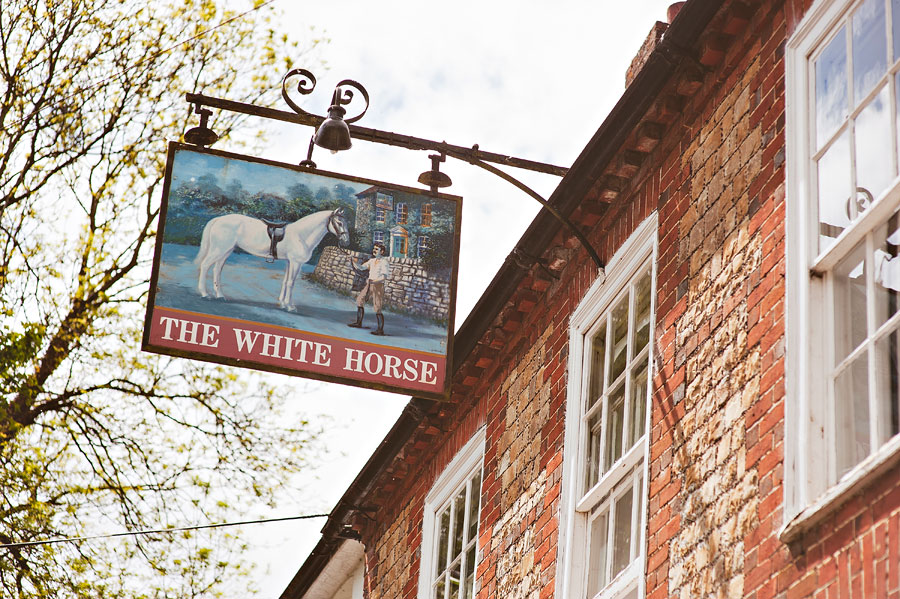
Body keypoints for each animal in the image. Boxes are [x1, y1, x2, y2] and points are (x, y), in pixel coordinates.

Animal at [195, 209, 350, 312]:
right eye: (338, 222)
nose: (346, 241)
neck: (302, 234)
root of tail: (218, 220)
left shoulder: (290, 262)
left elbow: (285, 282)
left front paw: (282, 303)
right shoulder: (296, 263)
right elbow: (291, 283)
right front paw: (290, 306)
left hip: (225, 250)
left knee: (217, 269)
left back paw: (220, 295)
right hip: (219, 249)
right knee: (205, 265)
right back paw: (205, 294)